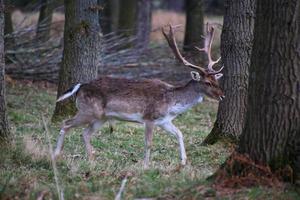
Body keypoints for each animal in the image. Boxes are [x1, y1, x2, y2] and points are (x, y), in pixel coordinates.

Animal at [54, 23, 224, 167]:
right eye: (207, 83)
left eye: (216, 80)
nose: (222, 96)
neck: (171, 102)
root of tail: (80, 86)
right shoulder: (149, 118)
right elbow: (149, 143)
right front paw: (145, 166)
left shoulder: (164, 121)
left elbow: (180, 134)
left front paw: (183, 162)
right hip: (88, 111)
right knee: (66, 123)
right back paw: (56, 155)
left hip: (101, 117)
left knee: (85, 133)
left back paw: (91, 160)